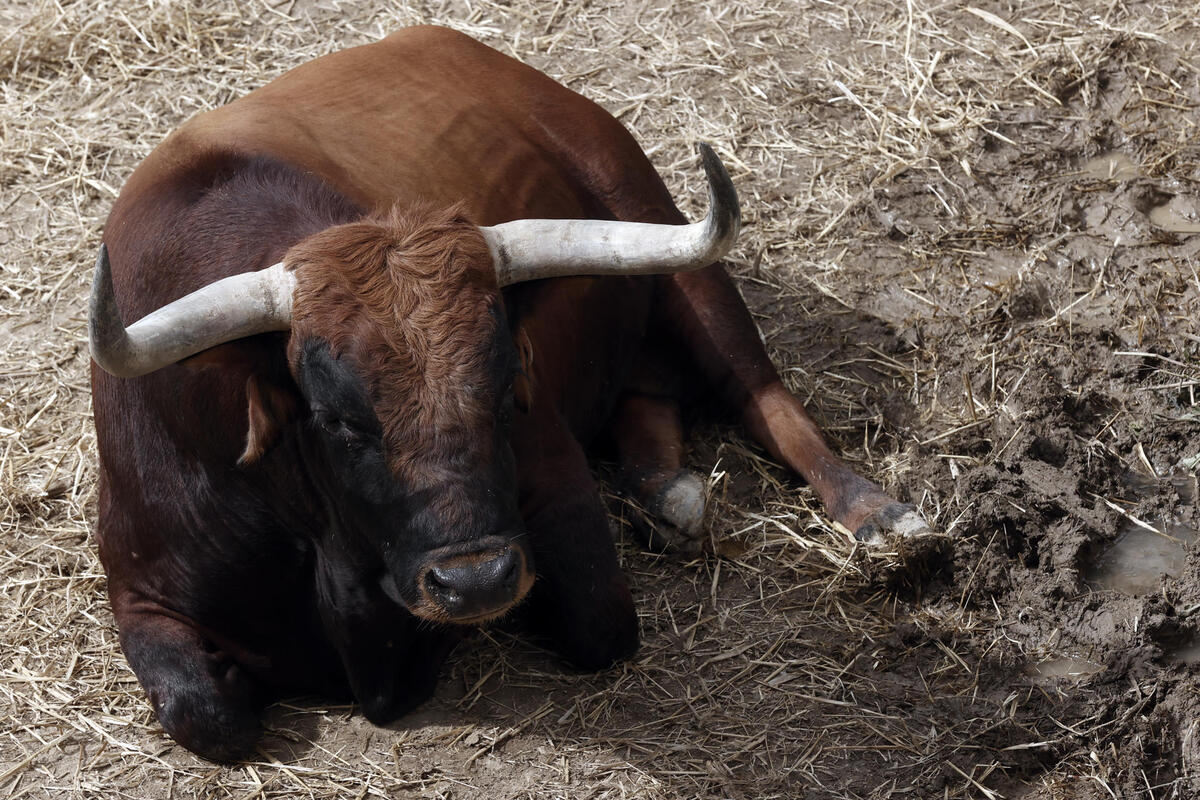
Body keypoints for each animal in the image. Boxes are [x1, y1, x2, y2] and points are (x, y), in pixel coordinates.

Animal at [88, 26, 931, 762]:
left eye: (503, 390)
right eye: (337, 420)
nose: (474, 580)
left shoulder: (553, 480)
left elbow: (598, 622)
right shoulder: (137, 590)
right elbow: (208, 714)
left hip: (667, 238)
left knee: (762, 393)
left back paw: (876, 514)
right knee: (648, 389)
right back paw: (668, 494)